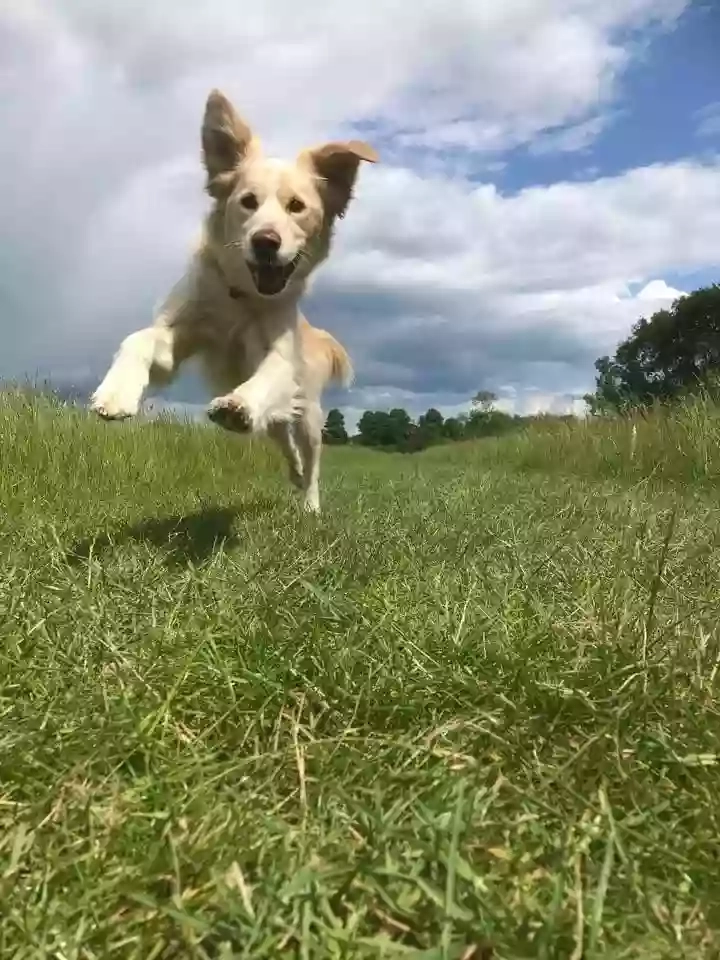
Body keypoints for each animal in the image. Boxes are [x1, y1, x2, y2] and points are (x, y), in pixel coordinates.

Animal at [91, 86, 376, 512]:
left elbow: (270, 374)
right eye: (248, 201)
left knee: (308, 455)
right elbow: (139, 340)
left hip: (308, 414)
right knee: (282, 439)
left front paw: (238, 405)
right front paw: (116, 393)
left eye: (296, 206)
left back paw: (310, 503)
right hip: (281, 422)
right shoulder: (179, 330)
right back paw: (292, 472)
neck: (241, 299)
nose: (265, 241)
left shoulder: (278, 353)